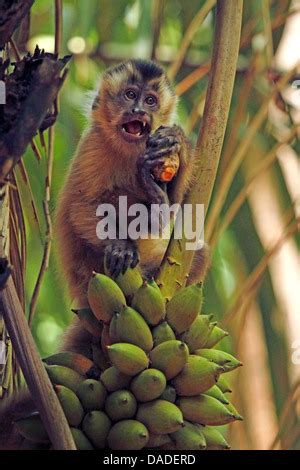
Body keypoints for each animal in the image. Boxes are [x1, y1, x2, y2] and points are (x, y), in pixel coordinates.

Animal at [0, 60, 209, 446]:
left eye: (151, 100)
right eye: (129, 94)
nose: (139, 110)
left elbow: (183, 208)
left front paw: (176, 147)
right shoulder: (92, 147)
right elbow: (83, 206)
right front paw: (120, 245)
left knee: (194, 249)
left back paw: (156, 204)